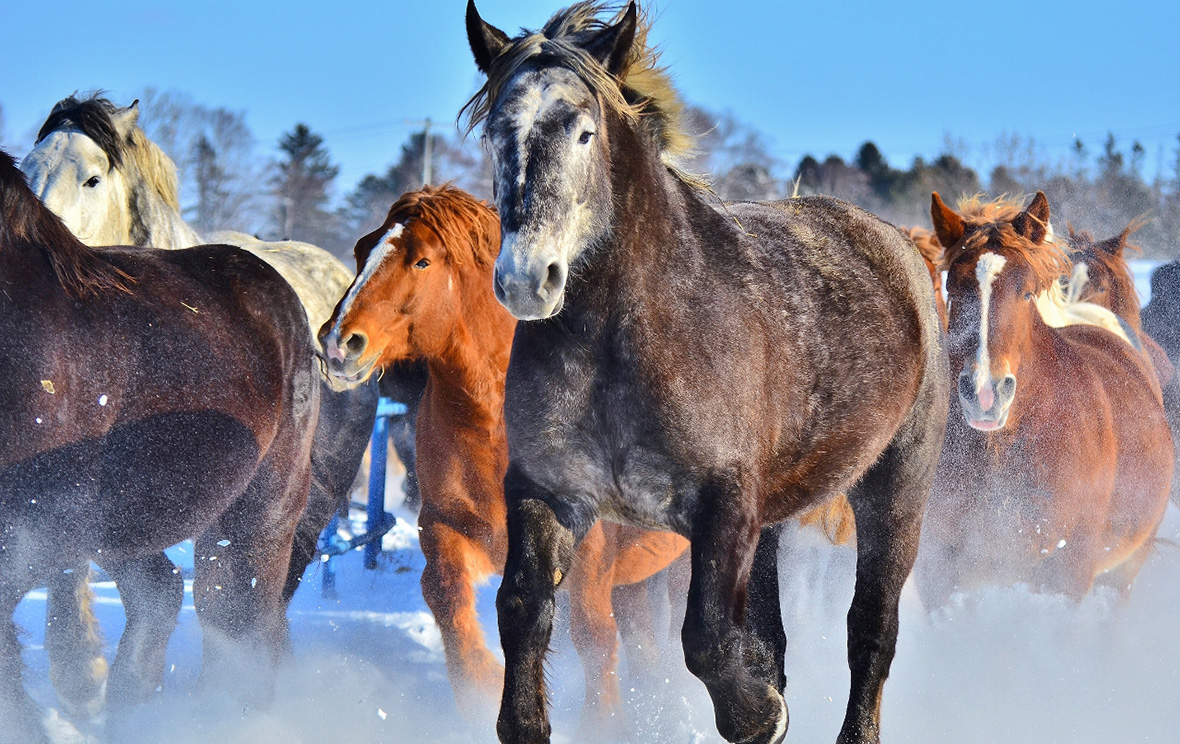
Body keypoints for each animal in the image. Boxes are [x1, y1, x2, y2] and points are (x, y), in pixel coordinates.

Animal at [19, 94, 377, 726]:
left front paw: (82, 675)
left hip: (308, 495)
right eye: (28, 166)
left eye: (92, 177)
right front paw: (83, 672)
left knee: (265, 591)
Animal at [318, 187, 689, 740]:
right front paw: (480, 687)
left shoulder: (589, 552)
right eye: (363, 250)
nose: (338, 342)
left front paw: (602, 722)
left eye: (422, 260)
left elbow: (592, 635)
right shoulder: (446, 526)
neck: (496, 430)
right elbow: (444, 594)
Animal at [462, 2, 948, 740]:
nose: (526, 279)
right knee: (776, 636)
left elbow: (709, 639)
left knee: (871, 630)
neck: (623, 343)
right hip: (772, 516)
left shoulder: (722, 503)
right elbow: (522, 610)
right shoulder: (546, 490)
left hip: (895, 485)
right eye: (497, 134)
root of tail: (901, 251)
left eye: (583, 132)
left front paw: (760, 715)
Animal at [920, 188, 1170, 608]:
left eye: (1026, 292)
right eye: (952, 290)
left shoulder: (1069, 575)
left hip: (1121, 574)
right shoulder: (940, 574)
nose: (985, 394)